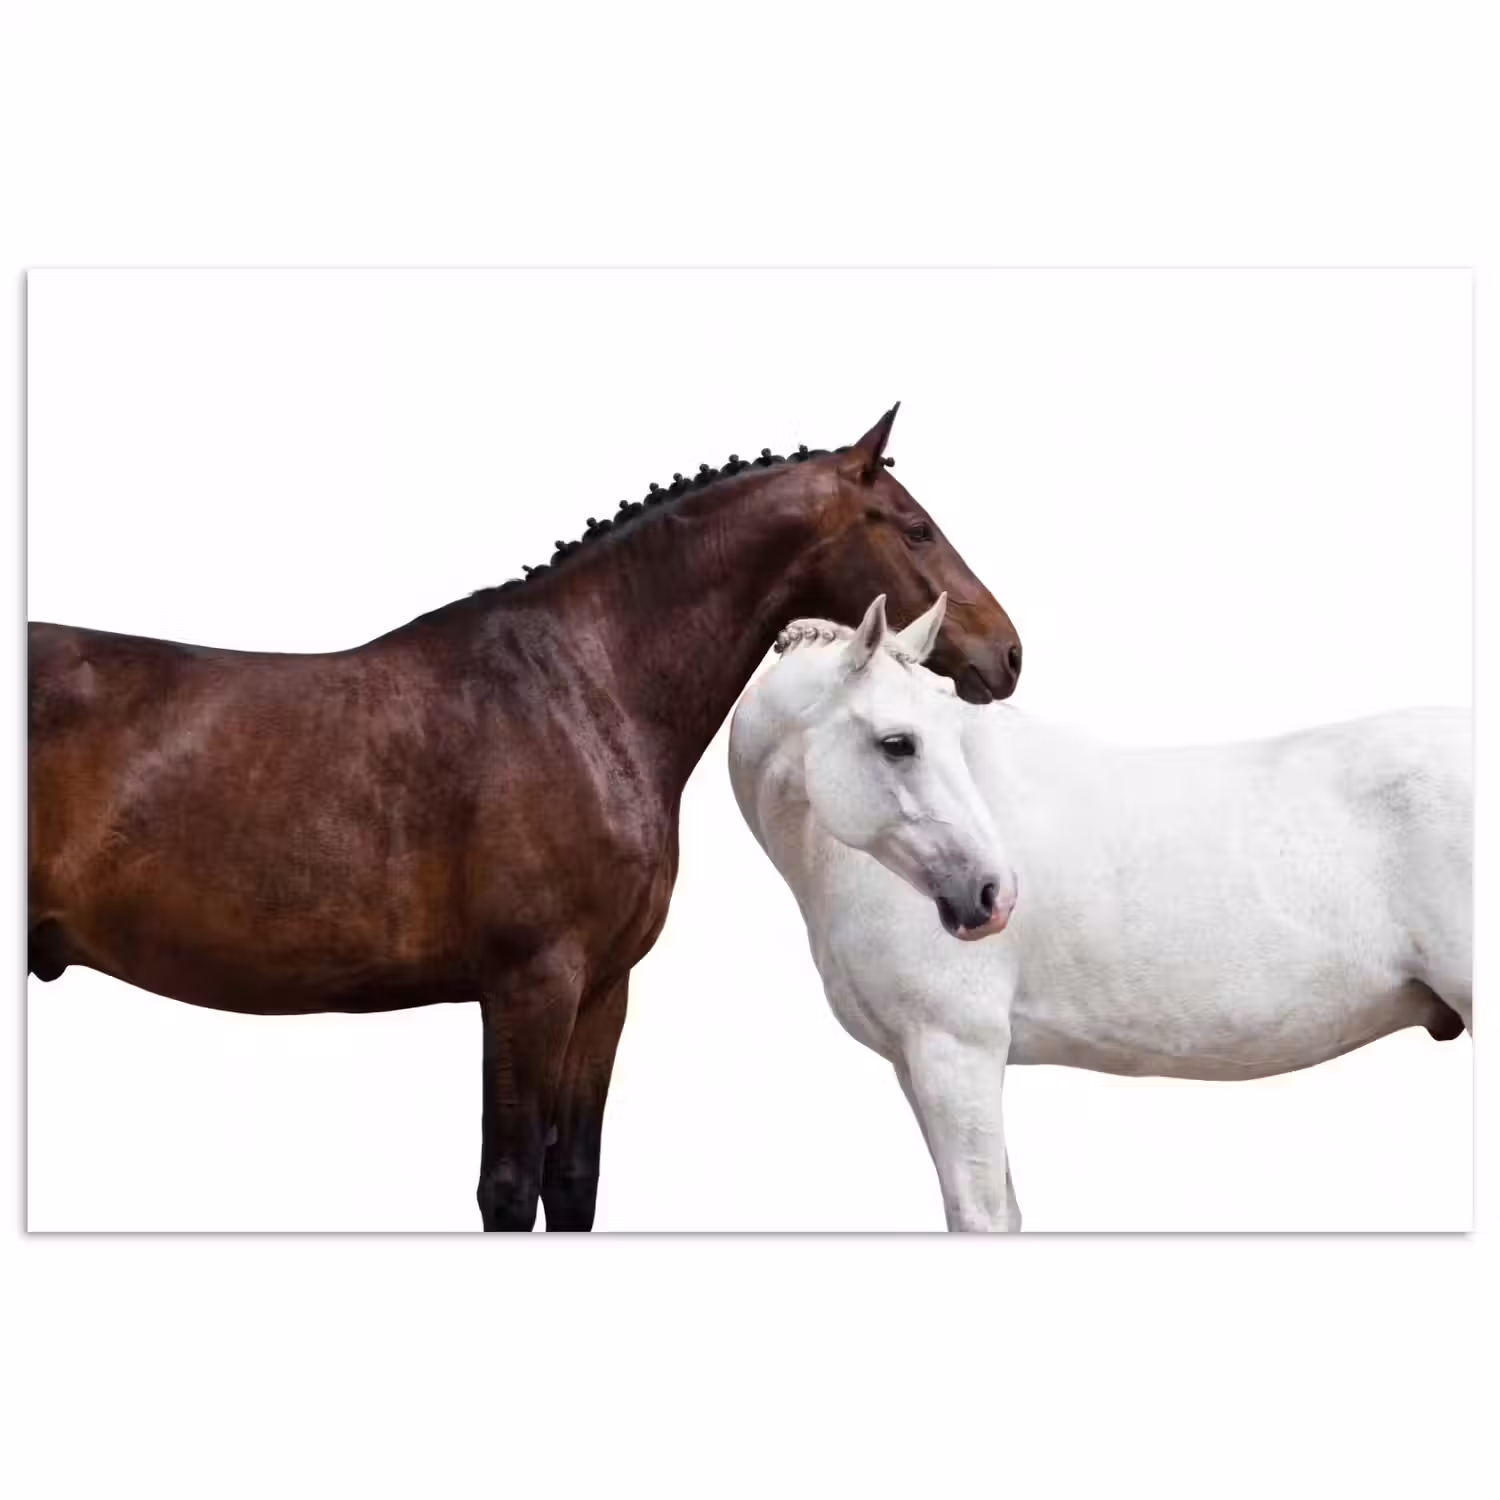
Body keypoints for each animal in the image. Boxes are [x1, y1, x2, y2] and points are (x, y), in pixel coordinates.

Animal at [27, 405, 1024, 1231]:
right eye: (916, 528)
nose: (1008, 653)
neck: (578, 691)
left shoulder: (603, 990)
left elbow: (572, 1179)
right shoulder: (528, 985)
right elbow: (508, 1187)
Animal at [728, 595, 1472, 1231]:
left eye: (927, 737)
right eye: (899, 742)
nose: (991, 894)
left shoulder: (955, 1049)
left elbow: (980, 1216)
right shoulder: (915, 1062)